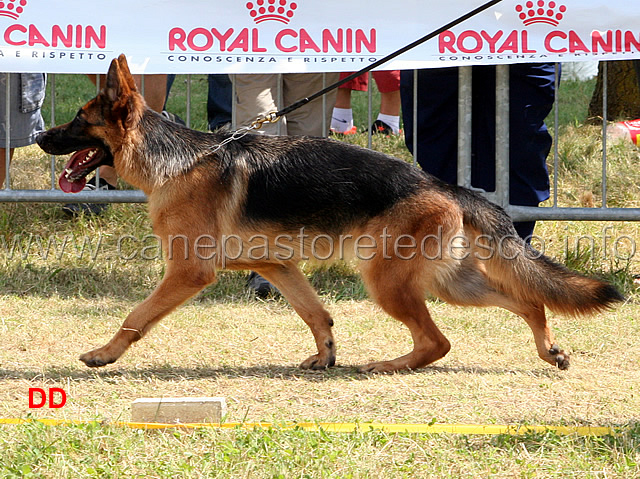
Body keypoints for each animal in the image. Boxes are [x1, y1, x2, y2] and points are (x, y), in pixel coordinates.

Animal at [35, 54, 620, 374]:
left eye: (78, 120)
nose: (39, 138)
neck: (177, 160)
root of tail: (439, 182)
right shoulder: (276, 266)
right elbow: (316, 313)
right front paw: (325, 355)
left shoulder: (188, 273)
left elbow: (136, 317)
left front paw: (104, 354)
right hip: (449, 282)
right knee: (527, 302)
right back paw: (549, 349)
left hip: (389, 281)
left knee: (438, 340)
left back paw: (388, 364)